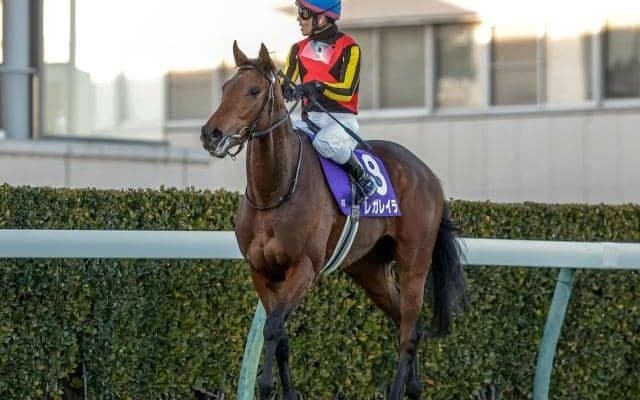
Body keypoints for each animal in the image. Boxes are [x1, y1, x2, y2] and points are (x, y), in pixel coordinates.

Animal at [200, 41, 467, 400]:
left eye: (253, 90)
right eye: (226, 88)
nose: (211, 134)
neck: (275, 193)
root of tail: (429, 175)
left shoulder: (304, 267)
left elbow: (273, 327)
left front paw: (267, 388)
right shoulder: (261, 270)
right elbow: (281, 336)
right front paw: (288, 393)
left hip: (414, 260)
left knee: (409, 330)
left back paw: (398, 390)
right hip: (369, 269)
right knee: (405, 321)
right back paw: (414, 390)